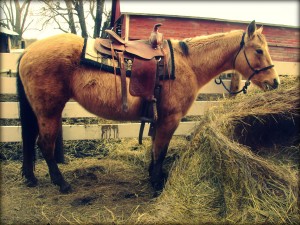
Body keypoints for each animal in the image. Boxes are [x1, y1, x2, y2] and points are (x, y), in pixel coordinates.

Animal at [16, 20, 278, 193]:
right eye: (258, 50)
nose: (274, 82)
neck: (187, 64)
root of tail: (28, 50)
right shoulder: (170, 118)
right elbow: (160, 150)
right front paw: (157, 182)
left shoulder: (159, 119)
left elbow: (154, 148)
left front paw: (152, 175)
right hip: (49, 110)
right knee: (44, 144)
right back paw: (61, 183)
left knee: (30, 139)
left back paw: (30, 177)